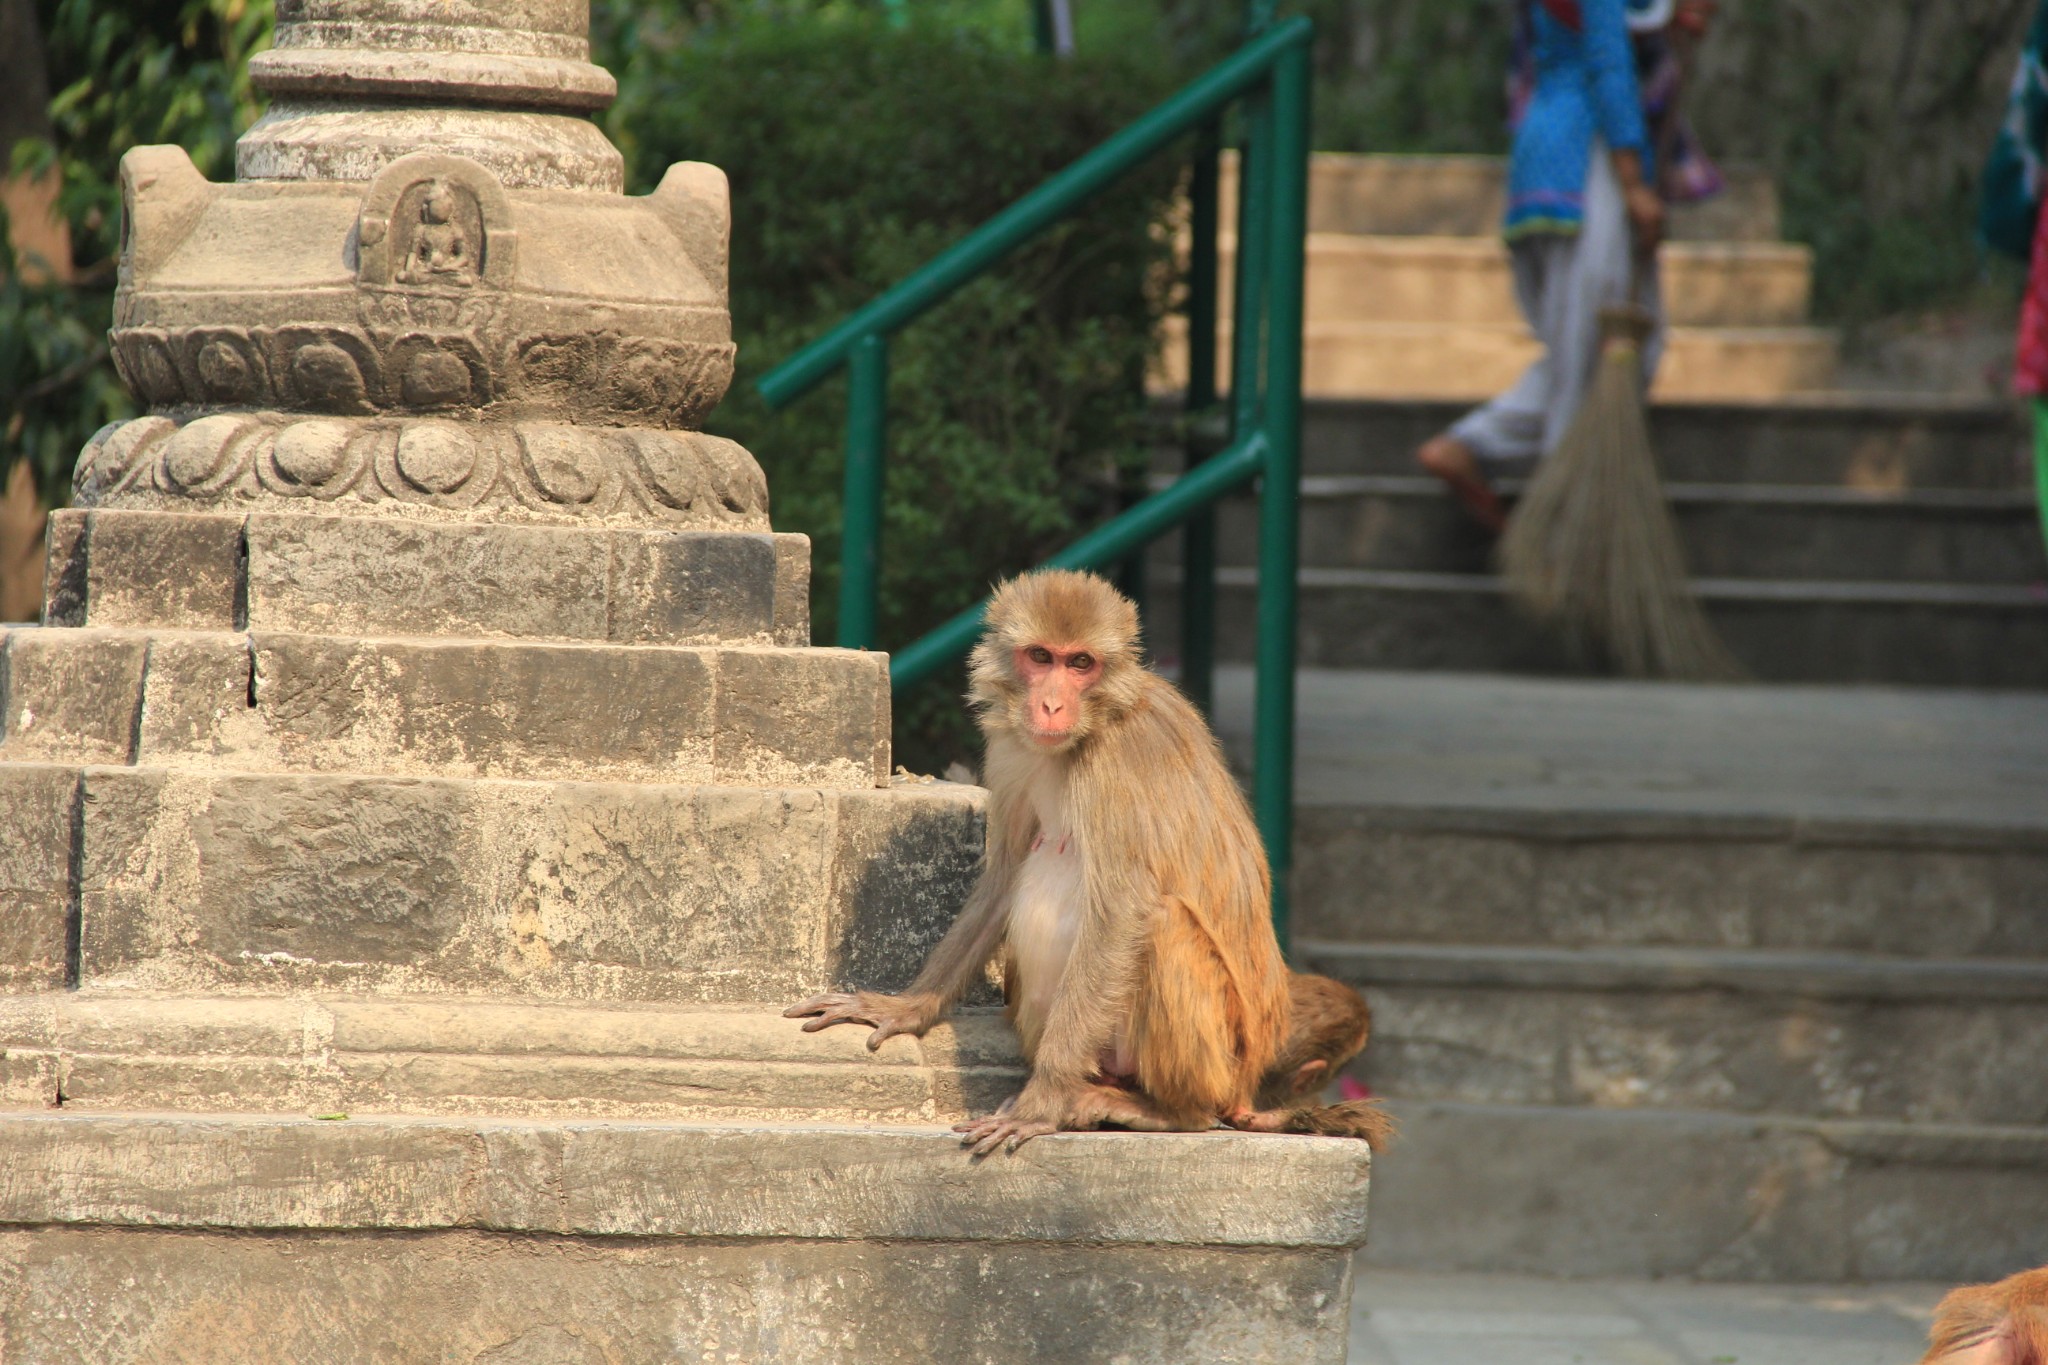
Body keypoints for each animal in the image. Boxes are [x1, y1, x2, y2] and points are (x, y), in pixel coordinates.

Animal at [786, 564, 1392, 1154]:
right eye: (1041, 657)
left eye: (1081, 663)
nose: (1052, 704)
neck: (1089, 727)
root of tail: (1243, 1089)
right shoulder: (1014, 750)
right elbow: (1005, 874)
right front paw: (909, 1006)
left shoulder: (1114, 765)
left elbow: (1123, 911)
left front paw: (1042, 1101)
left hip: (1218, 1061)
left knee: (1162, 924)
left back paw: (1168, 1111)